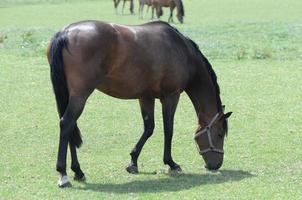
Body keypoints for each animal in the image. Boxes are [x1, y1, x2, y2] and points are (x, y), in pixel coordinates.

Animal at [47, 20, 232, 188]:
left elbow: (149, 128)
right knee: (67, 123)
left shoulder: (146, 97)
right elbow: (168, 130)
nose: (216, 165)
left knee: (70, 127)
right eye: (219, 134)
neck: (182, 51)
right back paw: (63, 174)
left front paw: (133, 162)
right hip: (80, 95)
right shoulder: (170, 97)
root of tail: (65, 33)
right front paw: (171, 163)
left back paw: (78, 171)